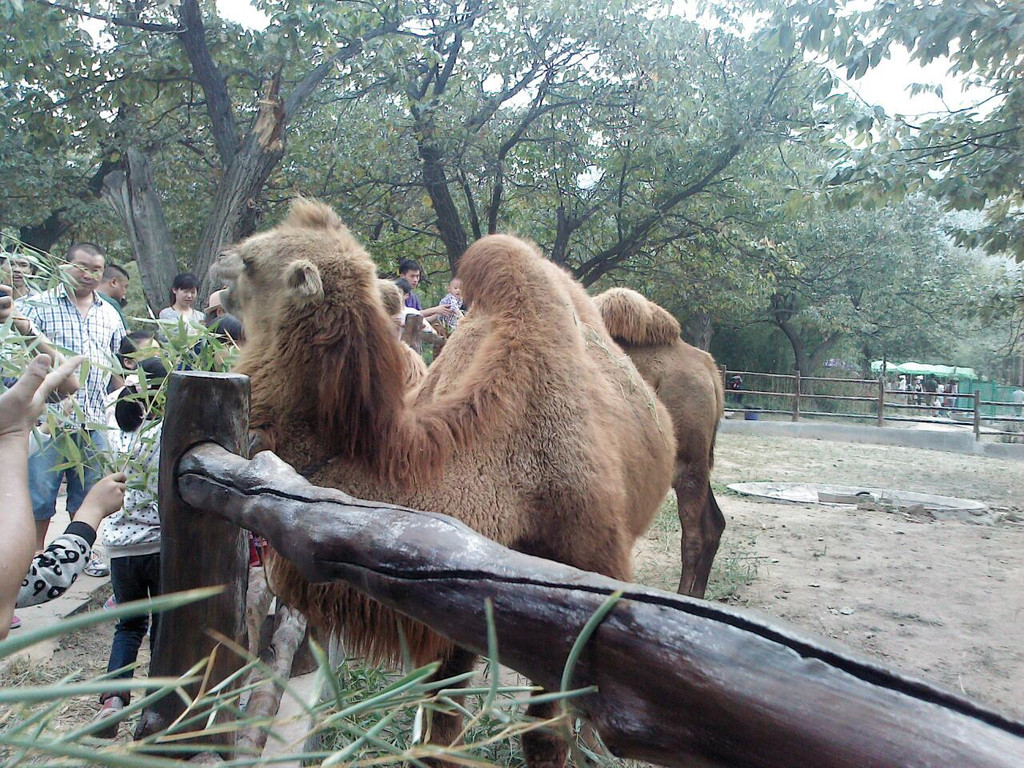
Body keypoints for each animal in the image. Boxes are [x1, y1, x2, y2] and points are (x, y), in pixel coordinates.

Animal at [217, 199, 675, 768]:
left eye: (253, 261)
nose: (221, 261)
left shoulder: (588, 577)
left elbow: (545, 734)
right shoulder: (449, 592)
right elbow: (440, 733)